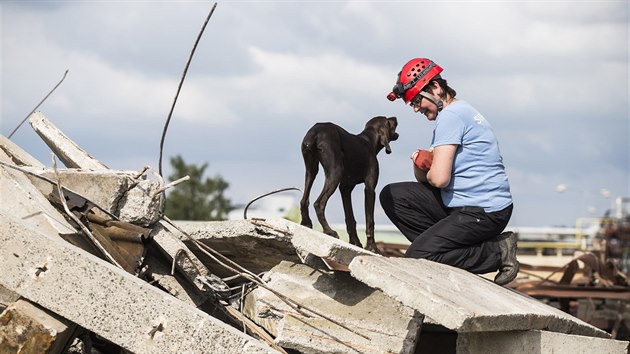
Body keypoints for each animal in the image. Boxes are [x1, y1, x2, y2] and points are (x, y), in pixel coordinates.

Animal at [302, 116, 400, 252]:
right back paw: (329, 231)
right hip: (335, 172)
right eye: (388, 120)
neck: (369, 140)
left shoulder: (345, 188)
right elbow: (370, 221)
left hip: (311, 171)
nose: (395, 117)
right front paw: (372, 247)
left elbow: (350, 218)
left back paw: (306, 223)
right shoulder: (369, 188)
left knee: (304, 200)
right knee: (319, 203)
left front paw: (355, 242)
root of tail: (315, 131)